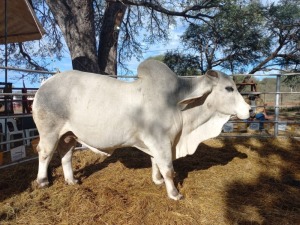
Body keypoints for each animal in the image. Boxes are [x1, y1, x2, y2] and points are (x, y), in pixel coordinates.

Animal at [32, 59, 251, 200]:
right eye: (229, 88)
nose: (249, 109)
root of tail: (46, 83)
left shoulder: (156, 143)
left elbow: (155, 164)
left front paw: (157, 181)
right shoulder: (161, 141)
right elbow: (168, 169)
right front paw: (174, 194)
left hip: (69, 135)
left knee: (66, 155)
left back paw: (71, 180)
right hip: (50, 131)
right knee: (44, 153)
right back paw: (42, 181)